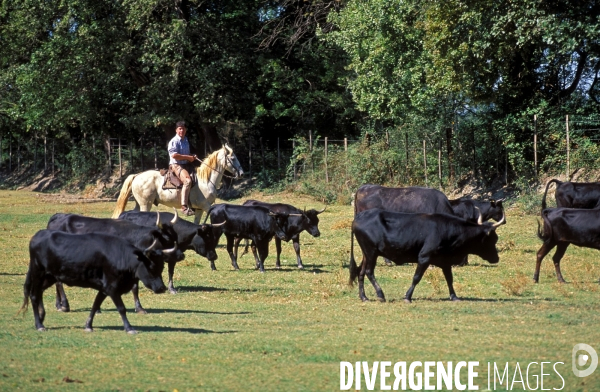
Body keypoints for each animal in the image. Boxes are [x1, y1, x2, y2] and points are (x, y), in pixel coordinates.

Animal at [20, 230, 166, 334]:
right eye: (151, 266)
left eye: (162, 266)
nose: (162, 288)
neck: (121, 257)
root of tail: (38, 235)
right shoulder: (112, 288)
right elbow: (121, 308)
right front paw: (129, 328)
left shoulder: (104, 289)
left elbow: (95, 305)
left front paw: (88, 325)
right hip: (38, 273)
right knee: (34, 295)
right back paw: (39, 324)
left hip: (50, 276)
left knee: (39, 292)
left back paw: (41, 317)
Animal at [46, 210, 180, 314]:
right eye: (167, 238)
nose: (180, 255)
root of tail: (58, 216)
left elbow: (134, 287)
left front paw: (139, 308)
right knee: (59, 282)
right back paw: (65, 305)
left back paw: (59, 305)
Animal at [111, 144, 243, 224]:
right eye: (233, 158)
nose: (241, 173)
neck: (206, 180)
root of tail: (137, 175)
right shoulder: (206, 206)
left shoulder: (199, 209)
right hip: (145, 204)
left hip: (139, 204)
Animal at [350, 208, 504, 304]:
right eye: (493, 239)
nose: (496, 258)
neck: (448, 230)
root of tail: (358, 217)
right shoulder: (424, 257)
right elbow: (416, 277)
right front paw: (407, 297)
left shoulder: (445, 261)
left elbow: (449, 279)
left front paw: (454, 296)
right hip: (371, 252)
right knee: (369, 272)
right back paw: (380, 295)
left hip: (366, 254)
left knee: (360, 272)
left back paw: (364, 297)